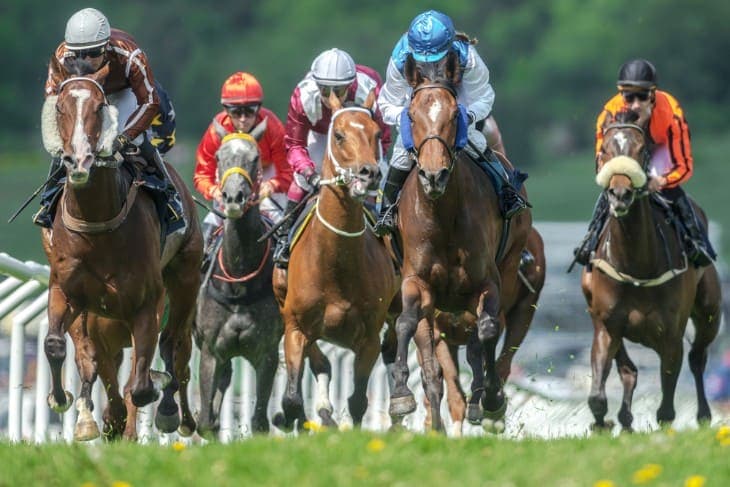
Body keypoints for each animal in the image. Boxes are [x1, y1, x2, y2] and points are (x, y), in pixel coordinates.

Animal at [39, 63, 202, 441]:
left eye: (100, 107)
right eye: (60, 108)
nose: (79, 160)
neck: (97, 225)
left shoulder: (145, 303)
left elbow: (140, 386)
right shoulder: (69, 294)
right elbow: (60, 346)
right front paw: (62, 400)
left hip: (185, 279)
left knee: (174, 345)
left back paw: (173, 412)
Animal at [193, 126, 283, 438]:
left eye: (255, 158)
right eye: (220, 157)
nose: (233, 197)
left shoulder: (267, 353)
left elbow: (259, 422)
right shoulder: (211, 351)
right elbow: (205, 422)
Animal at [271, 91, 399, 429]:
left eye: (376, 134)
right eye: (339, 135)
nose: (370, 173)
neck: (335, 264)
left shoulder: (369, 338)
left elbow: (358, 401)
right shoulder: (296, 328)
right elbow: (292, 398)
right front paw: (301, 418)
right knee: (321, 362)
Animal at [387, 52, 533, 432]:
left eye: (455, 115)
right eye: (411, 115)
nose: (433, 175)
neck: (443, 216)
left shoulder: (487, 283)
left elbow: (487, 330)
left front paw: (492, 398)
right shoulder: (416, 281)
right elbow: (406, 323)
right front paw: (400, 395)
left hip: (509, 270)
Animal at [582, 111, 722, 431]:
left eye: (641, 150)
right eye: (604, 149)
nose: (620, 194)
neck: (637, 264)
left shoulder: (670, 336)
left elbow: (667, 408)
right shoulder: (606, 325)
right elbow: (598, 395)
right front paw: (602, 423)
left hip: (710, 312)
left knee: (698, 357)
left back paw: (704, 415)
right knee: (629, 370)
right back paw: (624, 418)